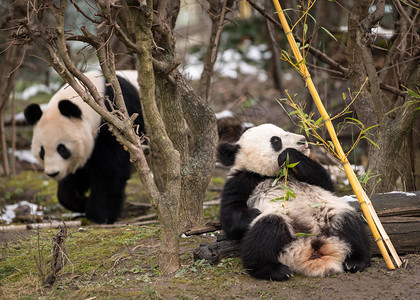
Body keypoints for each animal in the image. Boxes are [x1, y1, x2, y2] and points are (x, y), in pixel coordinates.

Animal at [23, 70, 144, 224]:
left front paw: (99, 215)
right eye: (42, 151)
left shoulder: (116, 123)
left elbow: (110, 171)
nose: (53, 173)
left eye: (62, 149)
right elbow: (78, 176)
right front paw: (80, 202)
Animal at [218, 123, 370, 280]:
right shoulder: (242, 180)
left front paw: (290, 155)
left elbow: (324, 182)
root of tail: (311, 246)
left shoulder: (313, 179)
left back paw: (355, 261)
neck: (274, 174)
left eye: (284, 131)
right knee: (266, 230)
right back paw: (274, 270)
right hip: (284, 236)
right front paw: (254, 213)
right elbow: (231, 217)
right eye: (276, 141)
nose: (302, 140)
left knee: (349, 224)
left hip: (329, 216)